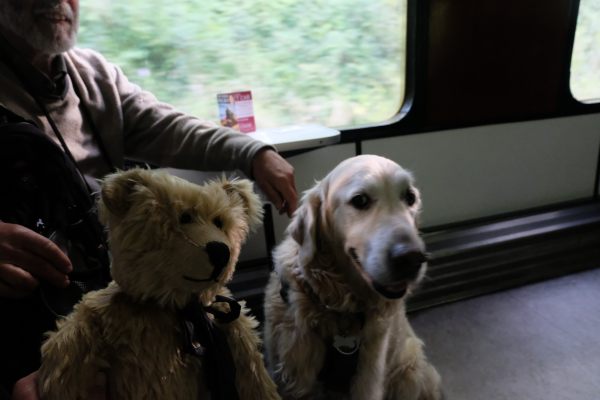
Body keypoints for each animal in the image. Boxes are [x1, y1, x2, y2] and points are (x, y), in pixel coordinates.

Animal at [262, 155, 440, 398]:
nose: (412, 258)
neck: (340, 308)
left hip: (409, 371)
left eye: (410, 197)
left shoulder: (369, 377)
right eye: (360, 200)